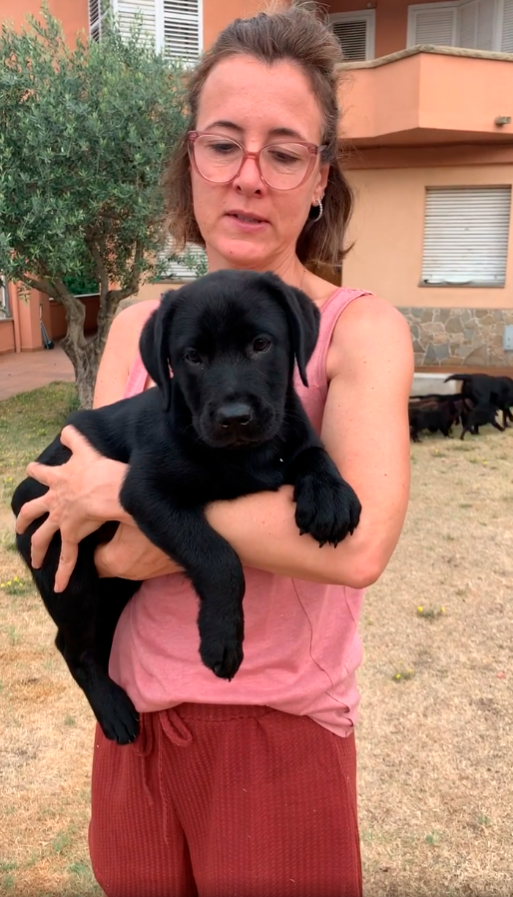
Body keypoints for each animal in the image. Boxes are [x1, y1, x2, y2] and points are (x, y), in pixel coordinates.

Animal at [13, 270, 364, 744]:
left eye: (261, 344)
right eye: (192, 357)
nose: (234, 417)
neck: (244, 455)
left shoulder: (290, 433)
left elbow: (312, 453)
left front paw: (330, 496)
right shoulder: (146, 492)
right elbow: (219, 557)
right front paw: (221, 638)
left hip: (113, 587)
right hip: (66, 571)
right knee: (72, 646)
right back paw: (114, 710)